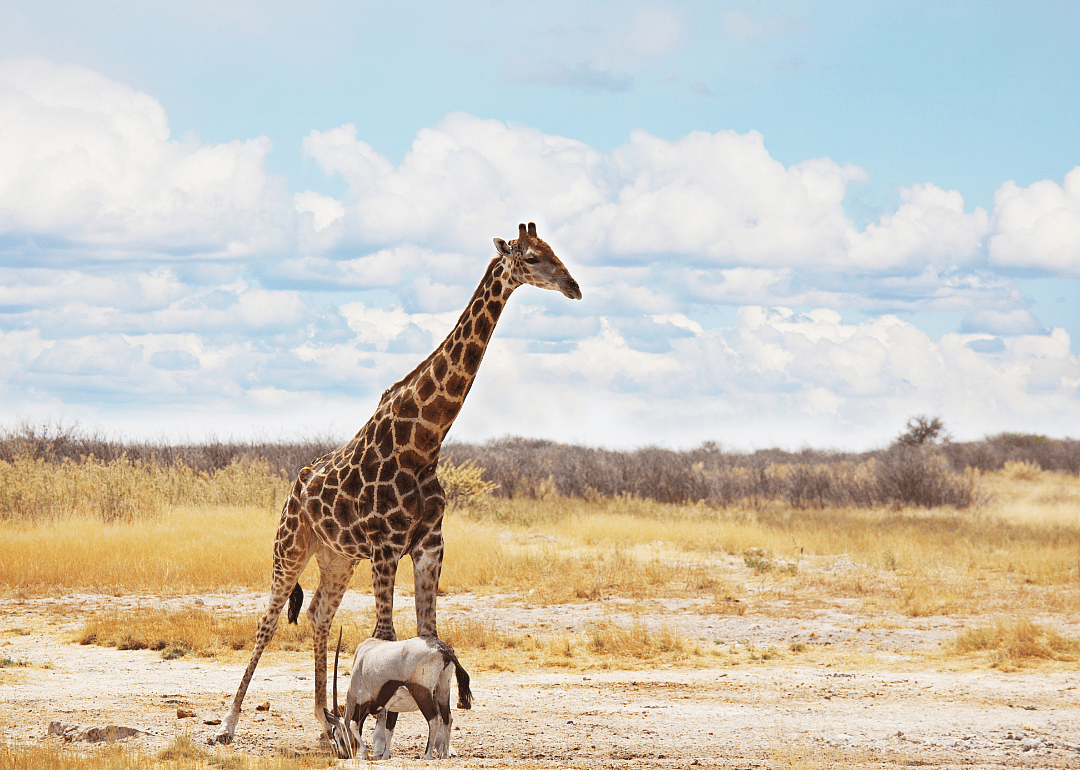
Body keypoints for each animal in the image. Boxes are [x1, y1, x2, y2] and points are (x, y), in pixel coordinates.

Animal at [211, 222, 581, 753]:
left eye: (554, 250)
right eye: (531, 257)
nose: (574, 286)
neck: (424, 441)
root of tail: (295, 487)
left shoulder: (429, 546)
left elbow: (429, 634)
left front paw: (427, 739)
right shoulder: (386, 547)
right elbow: (384, 635)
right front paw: (380, 735)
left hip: (337, 557)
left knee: (320, 614)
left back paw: (325, 724)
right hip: (290, 547)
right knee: (268, 620)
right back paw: (228, 724)